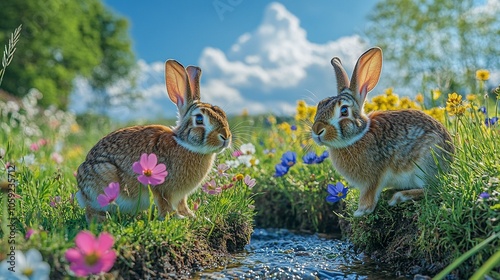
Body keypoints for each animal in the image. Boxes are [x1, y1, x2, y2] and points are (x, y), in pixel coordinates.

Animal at [75, 59, 231, 223]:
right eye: (199, 119)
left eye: (222, 114)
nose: (226, 137)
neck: (185, 144)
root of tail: (81, 192)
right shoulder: (160, 188)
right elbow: (164, 204)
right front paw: (175, 217)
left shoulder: (181, 195)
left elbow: (182, 203)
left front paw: (192, 216)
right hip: (104, 180)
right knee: (91, 210)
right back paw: (100, 221)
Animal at [310, 47, 456, 218]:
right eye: (320, 105)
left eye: (344, 111)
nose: (317, 130)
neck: (359, 135)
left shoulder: (372, 179)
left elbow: (369, 195)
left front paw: (360, 211)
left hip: (426, 162)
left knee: (432, 189)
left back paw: (399, 197)